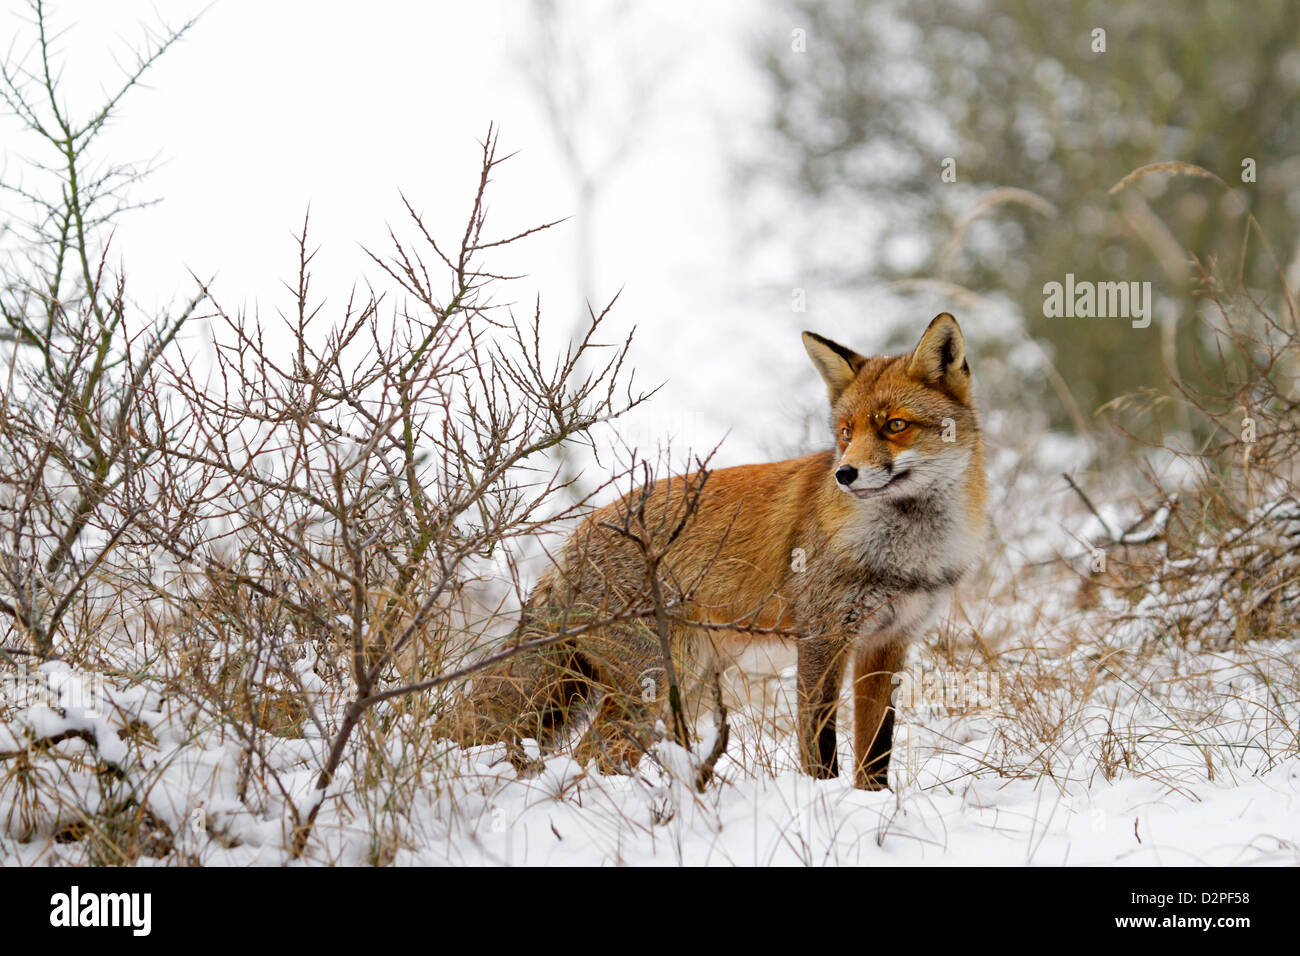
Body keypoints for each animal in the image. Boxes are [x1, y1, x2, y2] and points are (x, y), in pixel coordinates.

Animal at [441, 314, 987, 790]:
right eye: (846, 432)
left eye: (894, 426)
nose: (844, 474)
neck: (906, 553)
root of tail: (571, 542)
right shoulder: (822, 638)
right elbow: (821, 746)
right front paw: (823, 802)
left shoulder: (887, 643)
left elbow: (876, 754)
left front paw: (869, 806)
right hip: (659, 680)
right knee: (593, 752)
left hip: (687, 682)